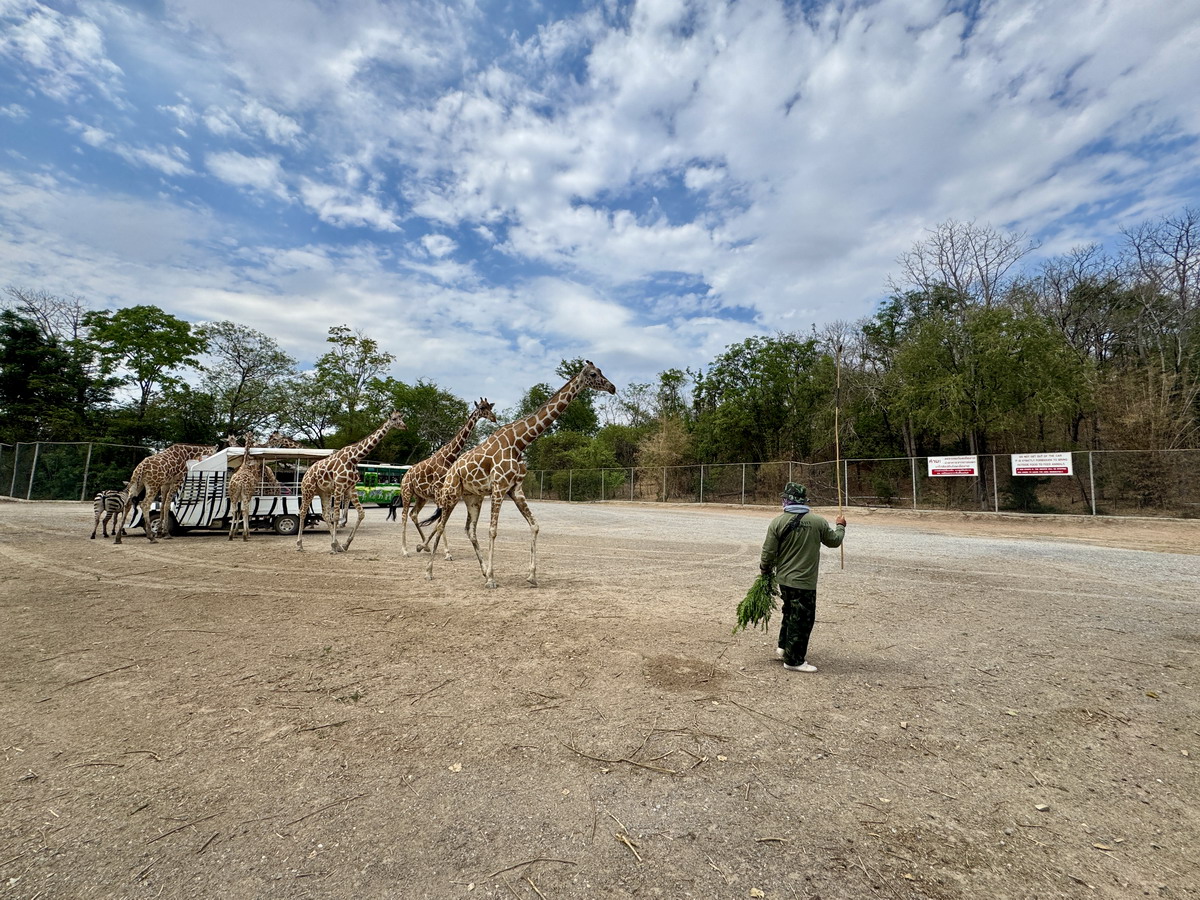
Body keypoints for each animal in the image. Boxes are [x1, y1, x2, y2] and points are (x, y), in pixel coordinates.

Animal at [296, 412, 405, 554]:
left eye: (402, 418)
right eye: (394, 419)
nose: (405, 426)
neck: (354, 458)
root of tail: (306, 473)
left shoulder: (350, 488)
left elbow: (361, 513)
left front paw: (345, 544)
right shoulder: (339, 487)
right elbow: (337, 516)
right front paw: (333, 547)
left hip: (323, 492)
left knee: (325, 515)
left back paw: (338, 545)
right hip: (307, 490)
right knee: (303, 512)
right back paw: (300, 545)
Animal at [398, 400, 496, 561]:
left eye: (490, 407)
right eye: (482, 408)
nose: (493, 418)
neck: (449, 457)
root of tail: (405, 475)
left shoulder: (445, 493)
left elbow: (440, 521)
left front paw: (425, 546)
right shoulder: (440, 491)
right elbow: (441, 522)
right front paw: (447, 552)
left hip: (421, 497)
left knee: (413, 514)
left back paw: (424, 547)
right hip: (406, 492)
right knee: (404, 516)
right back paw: (405, 550)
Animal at [424, 362, 614, 588]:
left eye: (601, 372)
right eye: (593, 374)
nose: (612, 388)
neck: (519, 442)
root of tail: (452, 469)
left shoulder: (515, 489)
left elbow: (535, 525)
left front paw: (531, 576)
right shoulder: (499, 487)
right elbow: (493, 530)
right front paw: (492, 579)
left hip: (473, 498)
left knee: (469, 529)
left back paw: (482, 570)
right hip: (452, 494)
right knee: (441, 525)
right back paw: (429, 571)